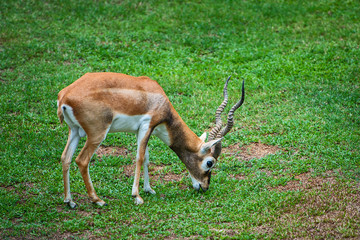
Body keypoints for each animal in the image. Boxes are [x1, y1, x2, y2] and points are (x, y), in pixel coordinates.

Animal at [57, 72, 245, 207]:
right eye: (209, 162)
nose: (205, 187)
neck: (158, 99)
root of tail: (65, 96)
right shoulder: (147, 126)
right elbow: (140, 158)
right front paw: (137, 196)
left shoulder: (141, 131)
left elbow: (146, 158)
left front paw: (148, 189)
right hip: (97, 134)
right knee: (82, 160)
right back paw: (97, 200)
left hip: (75, 131)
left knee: (65, 157)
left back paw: (70, 201)